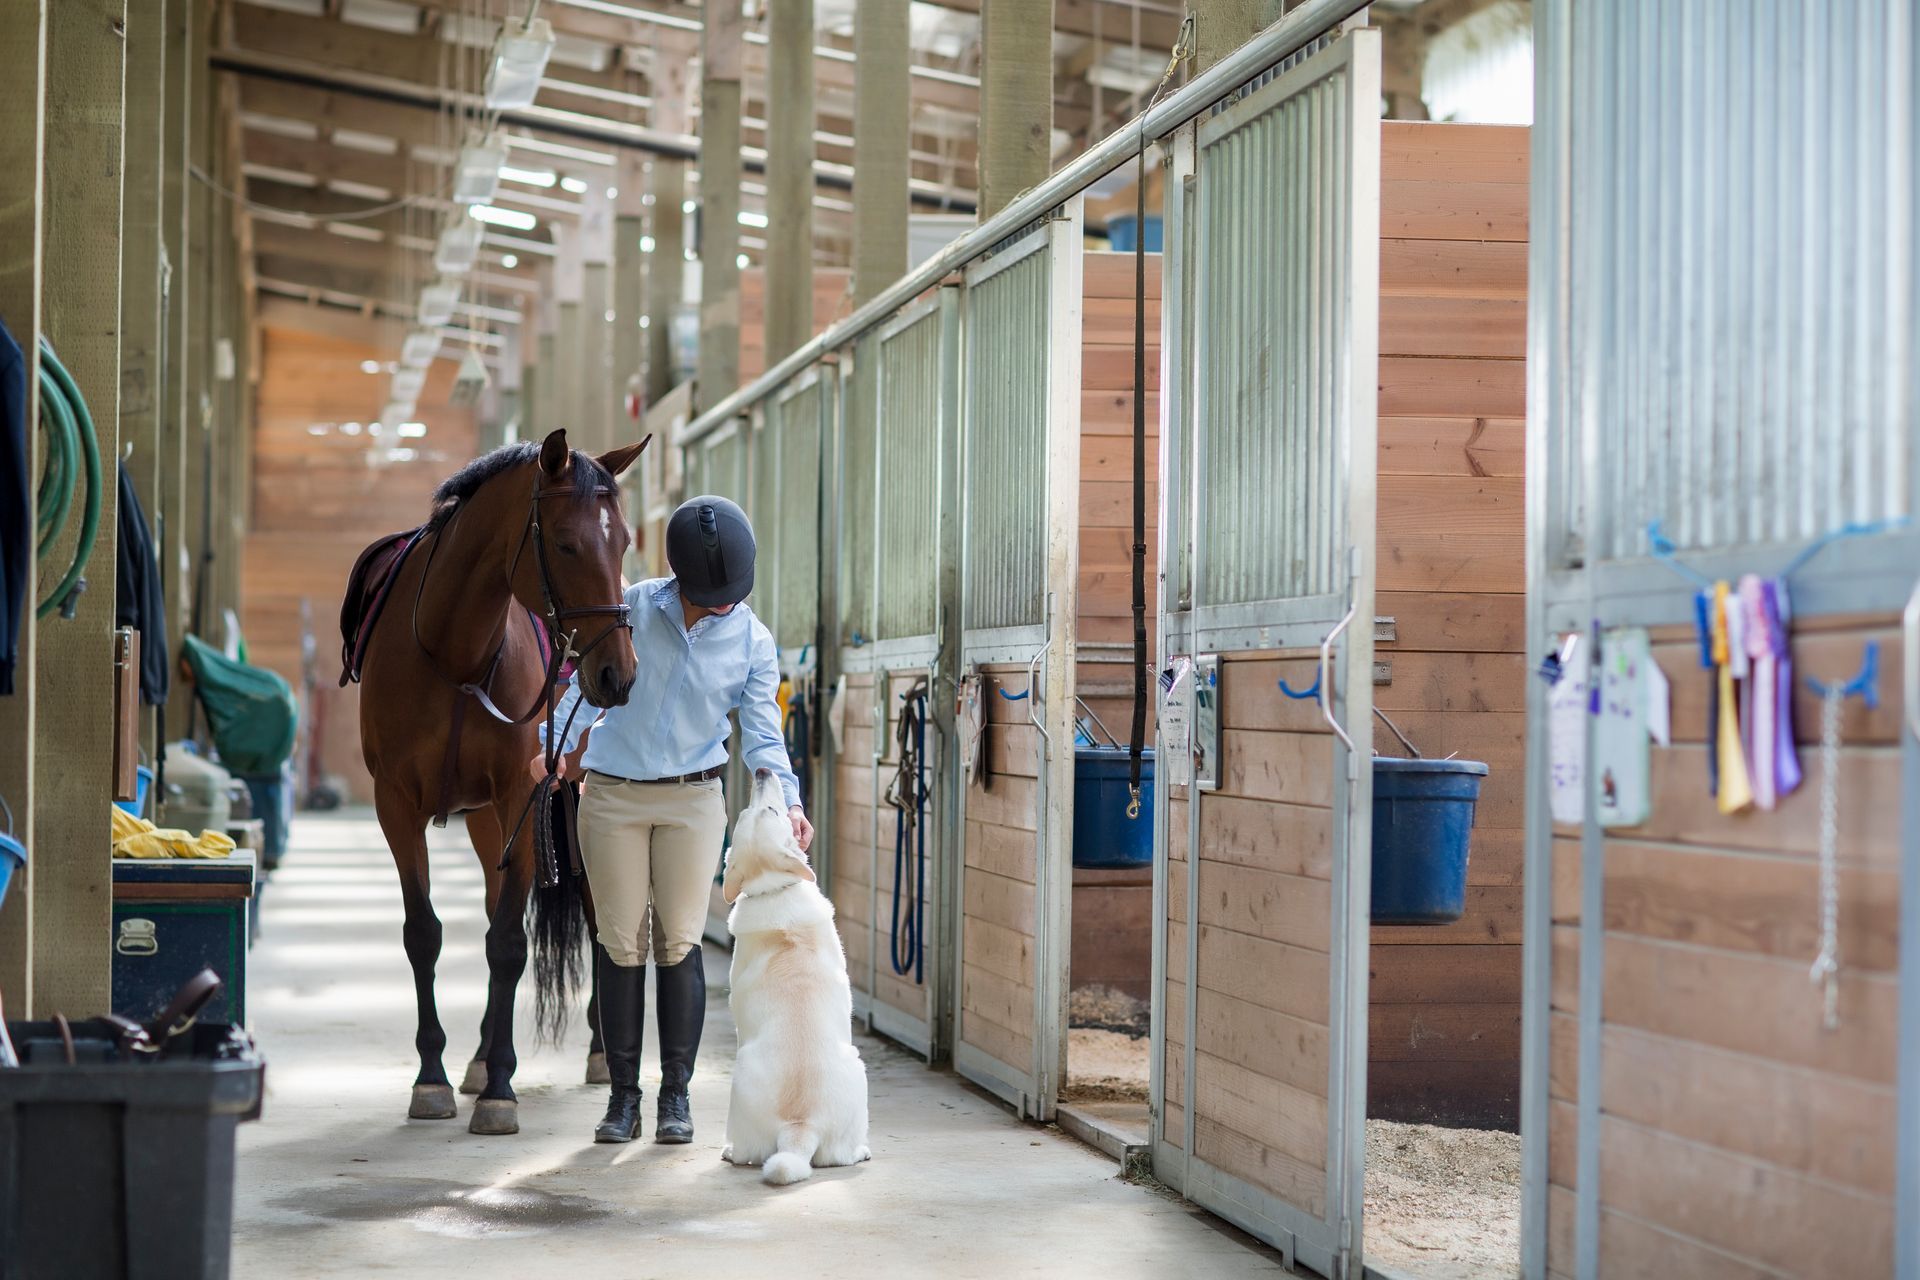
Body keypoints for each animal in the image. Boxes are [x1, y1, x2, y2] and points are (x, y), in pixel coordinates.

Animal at [349, 429, 646, 1135]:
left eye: (623, 540)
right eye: (565, 543)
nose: (618, 675)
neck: (455, 654)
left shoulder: (521, 793)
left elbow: (509, 943)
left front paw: (502, 1093)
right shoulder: (395, 805)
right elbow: (425, 934)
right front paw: (433, 1078)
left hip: (570, 801)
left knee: (593, 914)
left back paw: (596, 1053)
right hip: (487, 821)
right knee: (490, 907)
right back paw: (481, 1059)